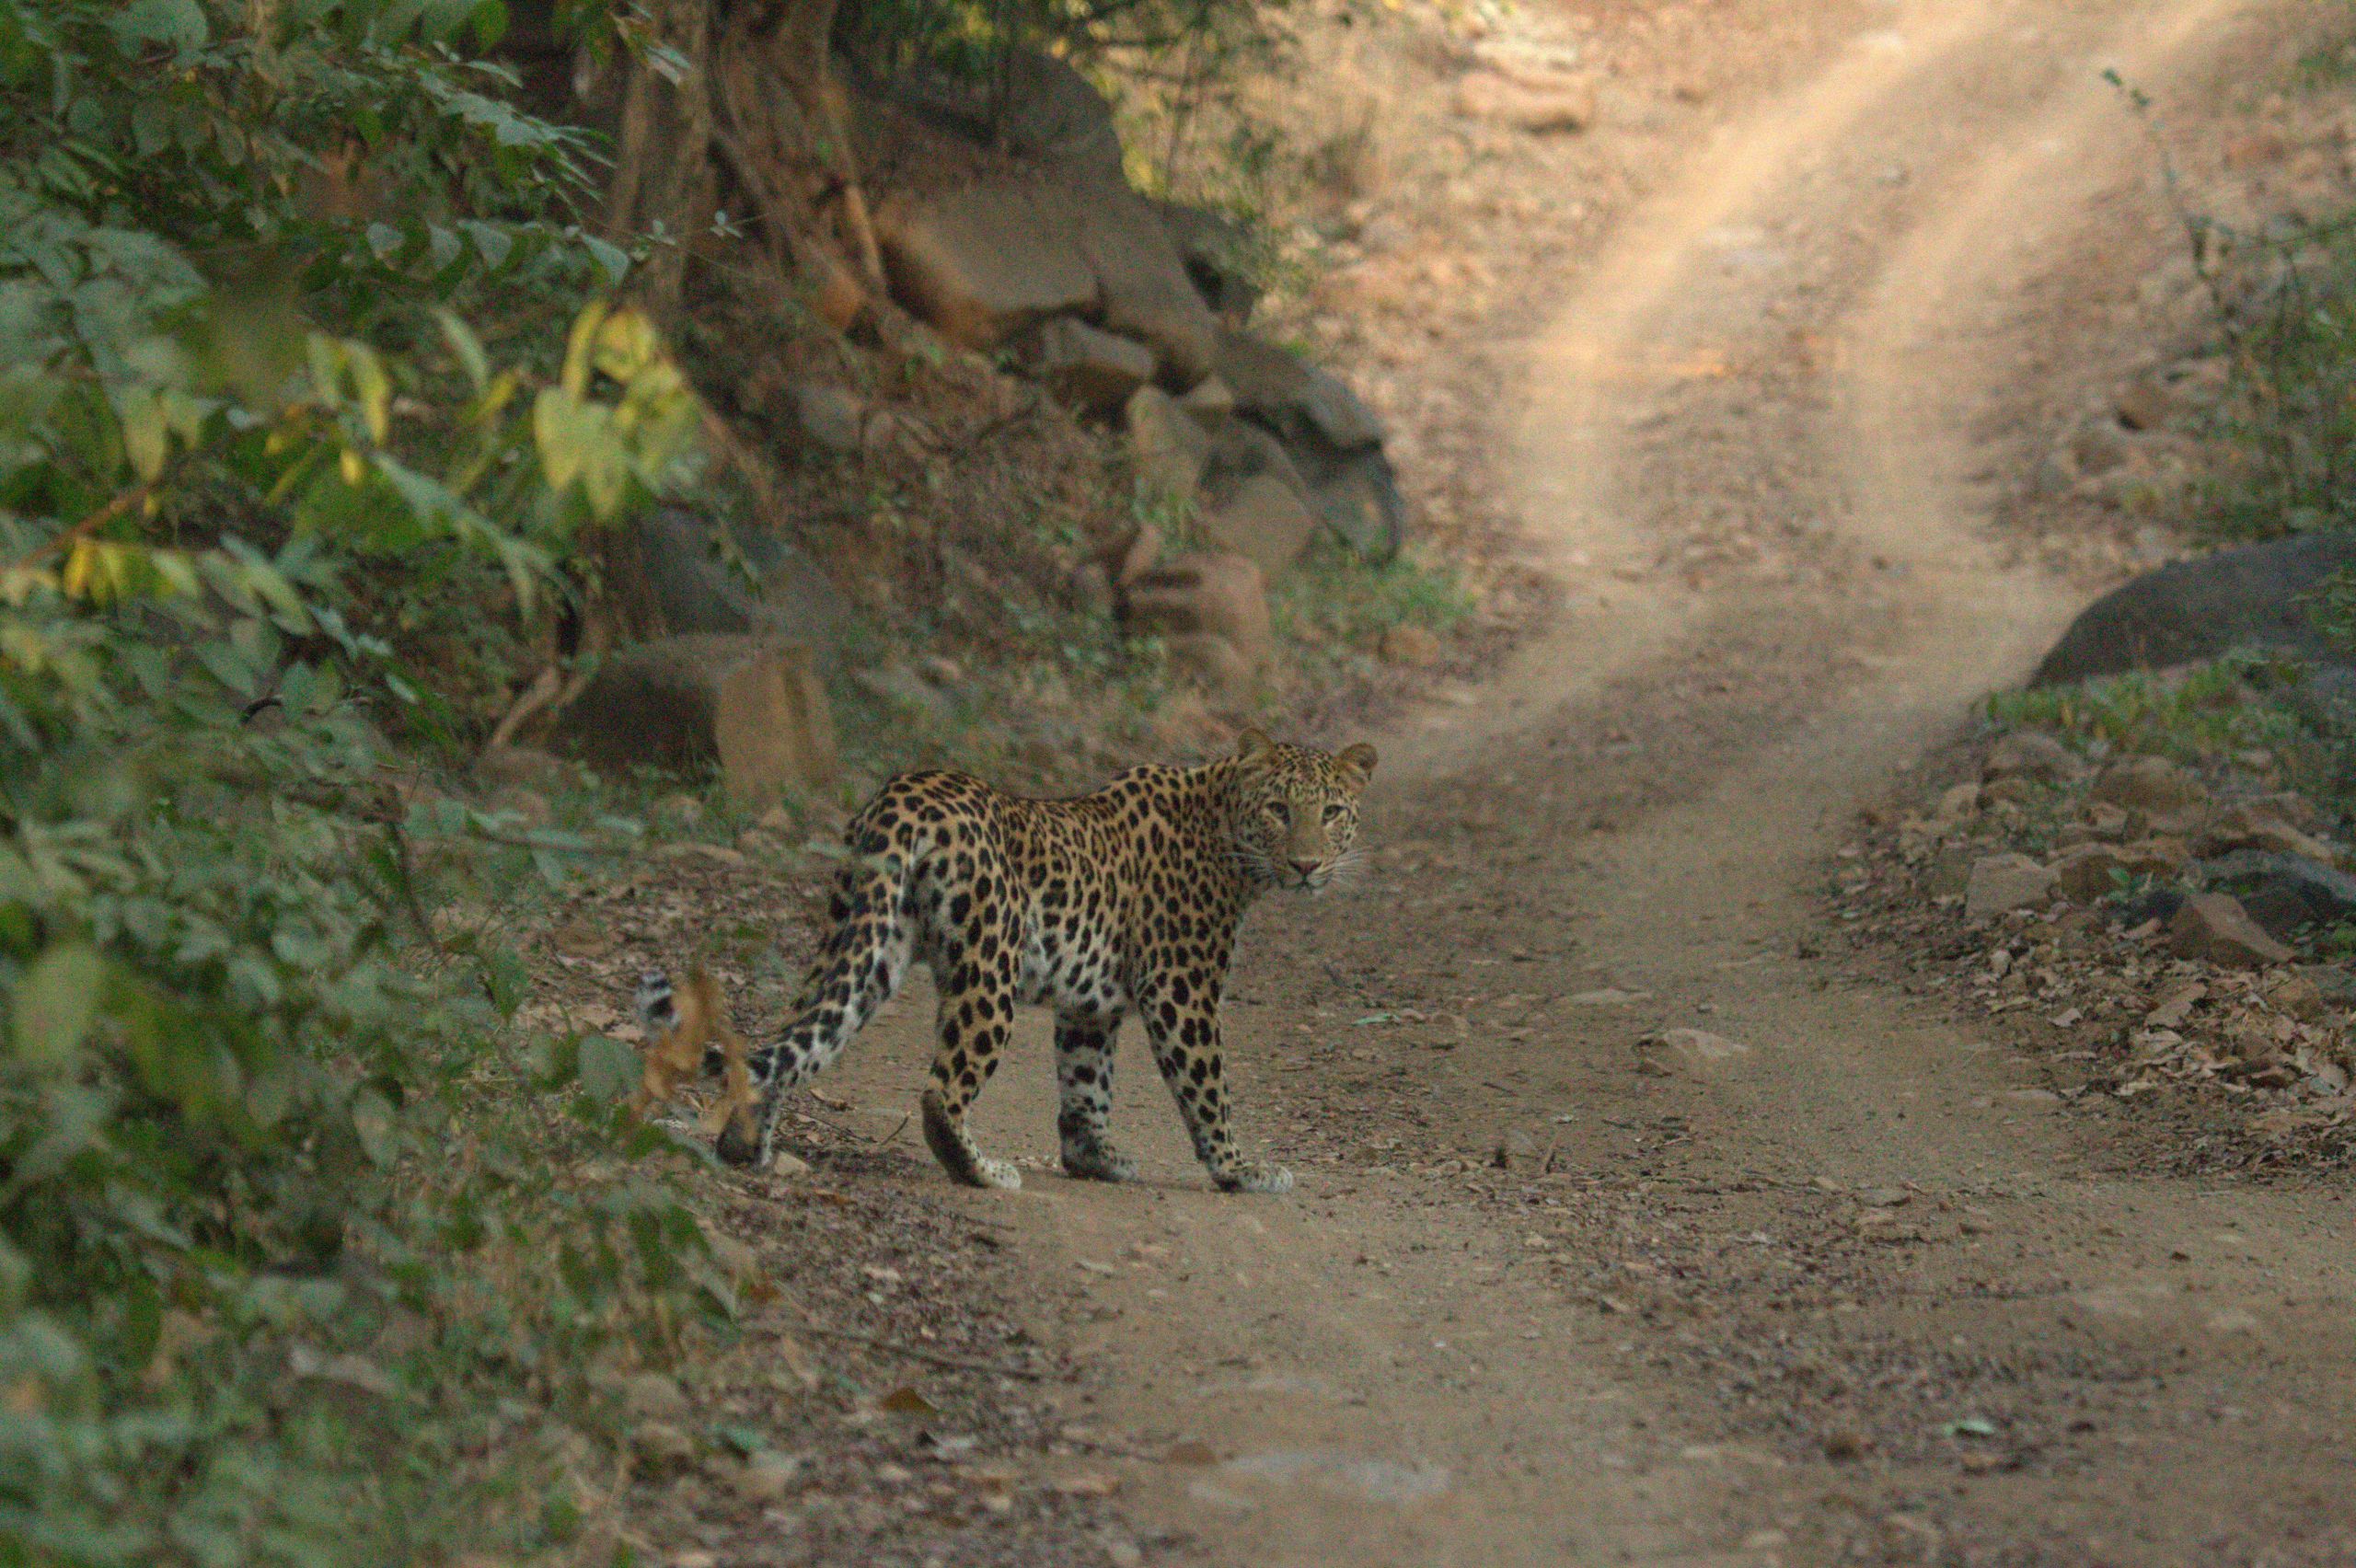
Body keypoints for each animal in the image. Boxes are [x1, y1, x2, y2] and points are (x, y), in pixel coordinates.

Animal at [645, 725, 1376, 1191]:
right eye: (1279, 810)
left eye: (1332, 812)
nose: (1307, 865)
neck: (1226, 831)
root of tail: (903, 794)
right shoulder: (1181, 988)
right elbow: (1207, 1085)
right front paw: (1240, 1169)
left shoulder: (1090, 1005)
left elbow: (1086, 1082)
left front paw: (1094, 1159)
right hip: (987, 967)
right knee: (941, 1089)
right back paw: (984, 1171)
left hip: (860, 941)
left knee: (794, 1034)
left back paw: (745, 1147)